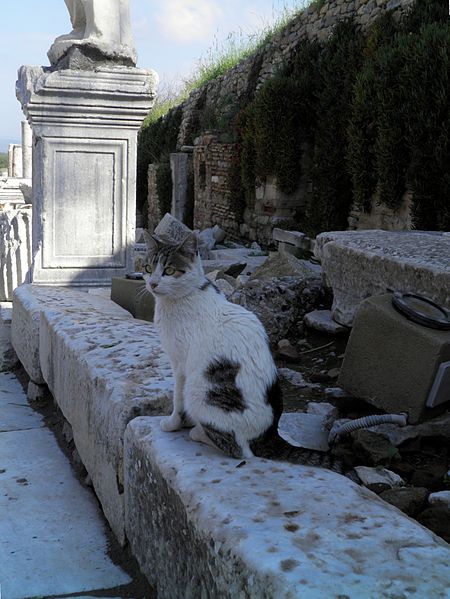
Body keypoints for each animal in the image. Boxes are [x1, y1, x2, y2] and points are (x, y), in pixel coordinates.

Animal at [143, 231, 342, 474]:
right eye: (147, 267)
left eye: (169, 270)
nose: (152, 283)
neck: (183, 297)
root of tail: (270, 434)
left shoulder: (180, 364)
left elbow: (177, 400)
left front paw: (173, 423)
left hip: (198, 389)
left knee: (239, 449)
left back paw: (199, 431)